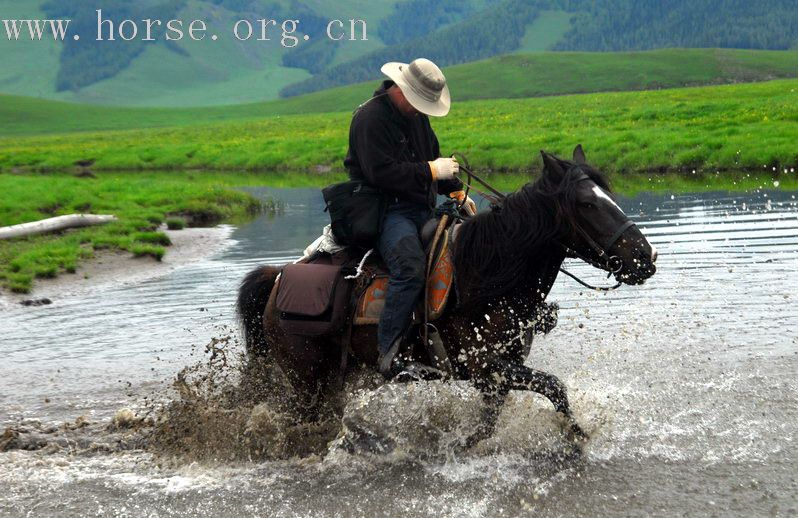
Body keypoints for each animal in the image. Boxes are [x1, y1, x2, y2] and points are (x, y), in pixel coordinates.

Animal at [236, 146, 656, 446]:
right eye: (587, 203)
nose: (645, 258)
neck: (487, 276)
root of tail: (278, 279)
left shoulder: (497, 374)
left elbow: (491, 421)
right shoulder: (486, 366)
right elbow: (553, 386)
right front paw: (578, 435)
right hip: (306, 379)